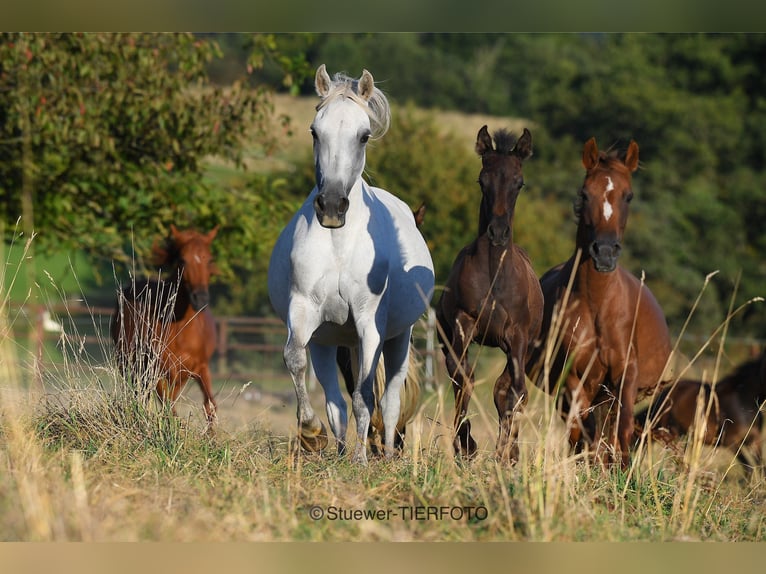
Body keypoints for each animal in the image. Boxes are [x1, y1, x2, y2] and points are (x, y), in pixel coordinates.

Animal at [111, 225, 220, 428]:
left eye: (209, 260)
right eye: (182, 260)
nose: (200, 298)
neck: (182, 330)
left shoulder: (200, 368)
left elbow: (210, 406)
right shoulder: (158, 371)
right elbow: (169, 409)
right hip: (130, 364)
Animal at [268, 65, 436, 466]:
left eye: (364, 135)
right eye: (315, 131)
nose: (331, 206)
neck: (339, 246)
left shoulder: (369, 321)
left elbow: (367, 395)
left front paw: (362, 460)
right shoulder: (304, 313)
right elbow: (294, 361)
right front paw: (311, 434)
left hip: (396, 338)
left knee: (388, 400)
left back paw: (385, 454)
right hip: (330, 341)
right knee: (335, 403)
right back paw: (342, 449)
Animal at [436, 126, 544, 464]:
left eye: (519, 183)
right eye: (482, 180)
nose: (497, 232)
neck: (496, 277)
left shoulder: (517, 337)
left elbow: (515, 391)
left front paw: (504, 453)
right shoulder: (464, 323)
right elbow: (463, 379)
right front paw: (466, 446)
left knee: (507, 389)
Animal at [528, 137, 672, 470]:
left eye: (628, 196)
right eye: (585, 193)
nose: (604, 252)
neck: (598, 306)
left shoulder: (624, 374)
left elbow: (623, 428)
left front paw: (623, 472)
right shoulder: (574, 377)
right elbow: (585, 431)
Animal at [636, 356, 766, 472]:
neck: (742, 399)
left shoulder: (756, 441)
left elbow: (760, 466)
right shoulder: (732, 442)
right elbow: (749, 468)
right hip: (673, 433)